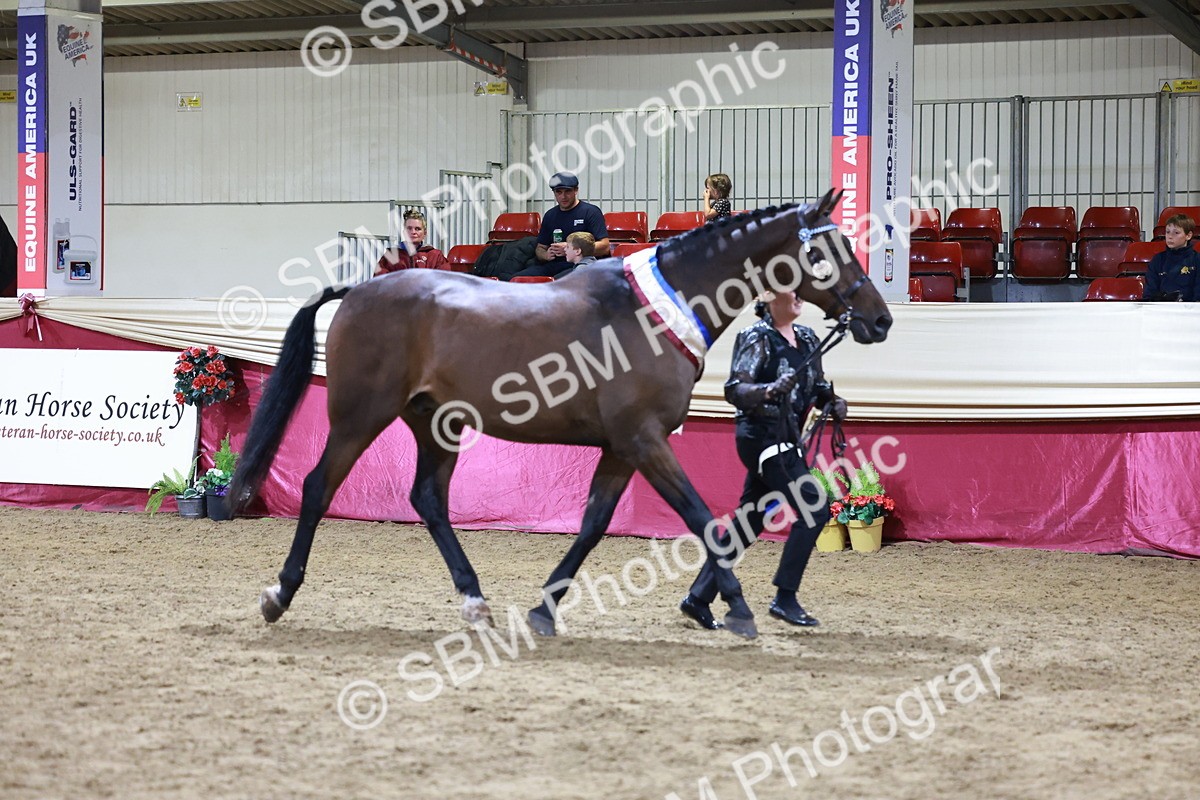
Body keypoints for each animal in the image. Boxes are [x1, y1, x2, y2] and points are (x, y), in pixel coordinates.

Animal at [228, 188, 892, 640]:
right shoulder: (644, 440)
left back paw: (475, 600)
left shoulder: (622, 447)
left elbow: (595, 523)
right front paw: (738, 608)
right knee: (319, 486)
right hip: (359, 416)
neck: (654, 311)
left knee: (428, 500)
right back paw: (279, 594)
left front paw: (544, 609)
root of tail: (359, 289)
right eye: (826, 249)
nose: (880, 319)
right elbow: (705, 520)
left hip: (436, 424)